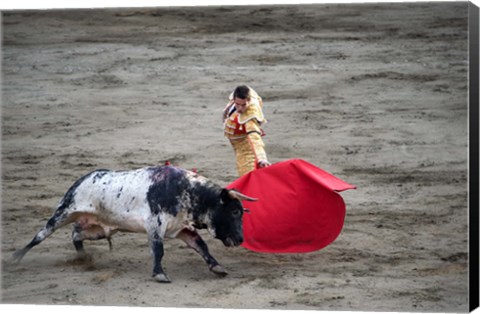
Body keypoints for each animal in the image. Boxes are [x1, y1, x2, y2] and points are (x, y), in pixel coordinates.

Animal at [11, 166, 256, 284]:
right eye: (234, 211)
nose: (241, 239)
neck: (187, 191)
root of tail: (81, 179)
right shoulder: (155, 225)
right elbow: (159, 250)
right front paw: (159, 274)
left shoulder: (182, 228)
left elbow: (201, 246)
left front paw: (217, 267)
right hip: (64, 212)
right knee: (41, 235)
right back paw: (16, 258)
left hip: (97, 229)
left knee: (76, 235)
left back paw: (83, 258)